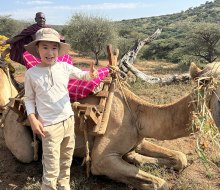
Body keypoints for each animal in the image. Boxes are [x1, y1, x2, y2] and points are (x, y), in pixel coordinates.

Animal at [1, 62, 220, 190]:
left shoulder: (138, 138)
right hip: (20, 137)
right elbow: (161, 184)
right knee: (26, 153)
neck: (137, 113)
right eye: (205, 82)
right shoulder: (102, 159)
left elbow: (180, 158)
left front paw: (134, 157)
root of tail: (12, 103)